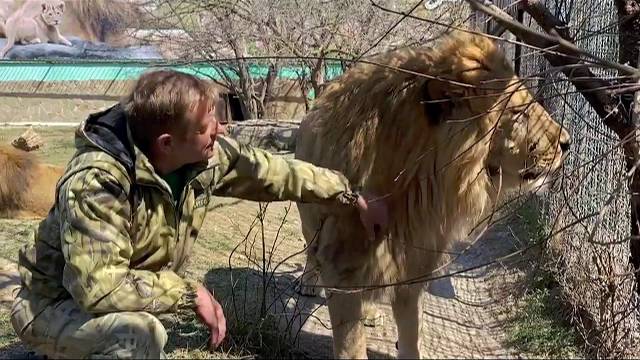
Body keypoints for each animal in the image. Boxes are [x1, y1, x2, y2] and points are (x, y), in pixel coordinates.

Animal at [294, 31, 568, 360]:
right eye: (519, 113)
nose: (567, 143)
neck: (420, 187)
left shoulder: (412, 266)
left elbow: (413, 333)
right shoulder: (341, 264)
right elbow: (351, 346)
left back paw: (370, 313)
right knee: (311, 249)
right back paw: (309, 284)